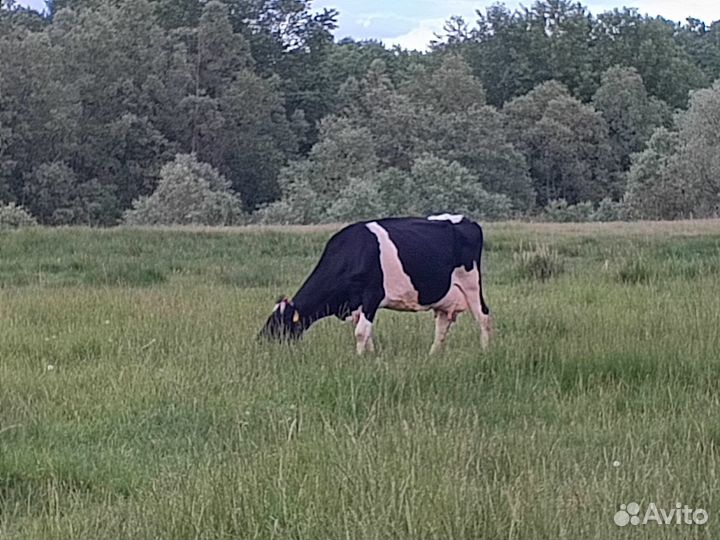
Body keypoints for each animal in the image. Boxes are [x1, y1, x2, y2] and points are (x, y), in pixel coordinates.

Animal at [260, 214, 492, 354]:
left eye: (279, 323)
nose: (260, 341)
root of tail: (468, 221)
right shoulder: (356, 304)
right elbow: (366, 332)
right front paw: (370, 357)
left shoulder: (371, 296)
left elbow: (361, 332)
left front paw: (359, 360)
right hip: (444, 296)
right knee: (442, 325)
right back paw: (433, 354)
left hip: (471, 283)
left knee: (483, 317)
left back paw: (485, 351)